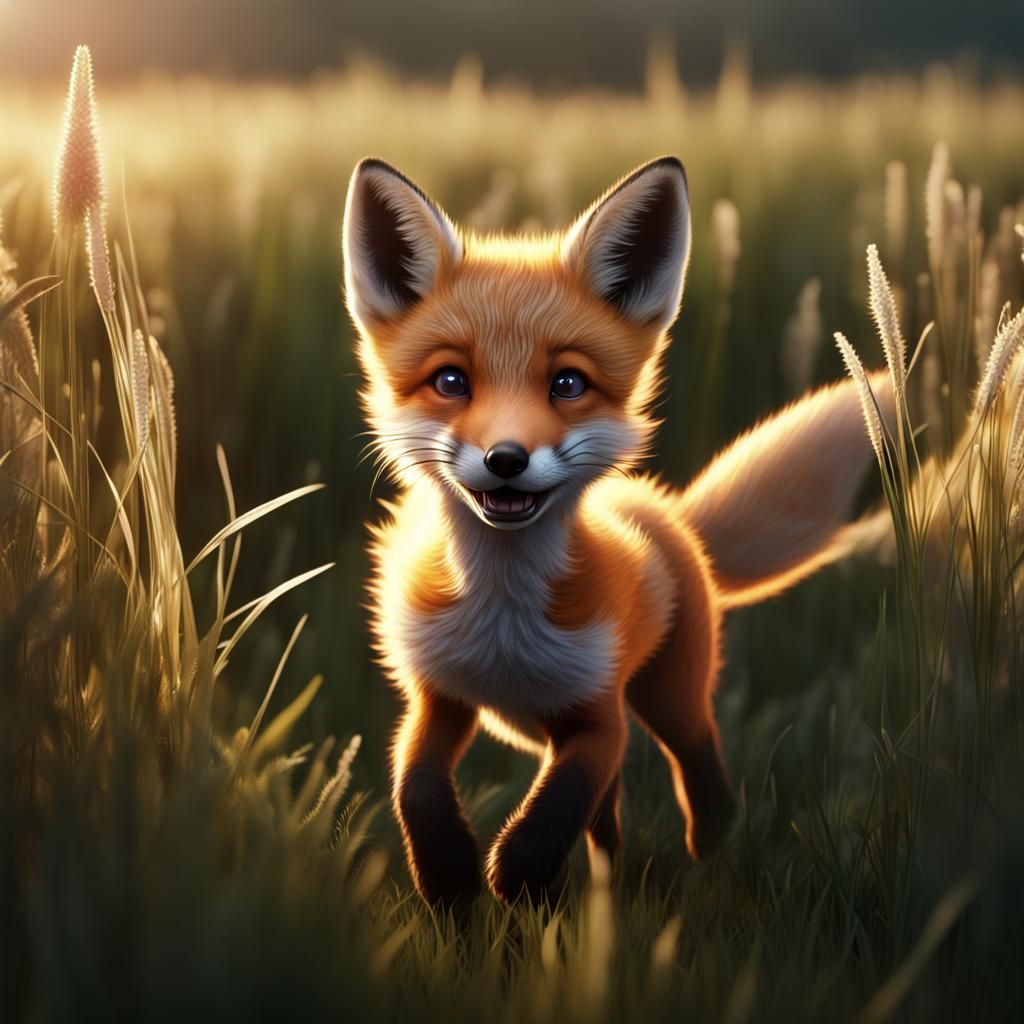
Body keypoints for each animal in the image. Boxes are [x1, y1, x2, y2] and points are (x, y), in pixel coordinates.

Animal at [341, 155, 895, 907]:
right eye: (451, 381)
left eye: (568, 384)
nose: (506, 459)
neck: (503, 619)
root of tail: (672, 515)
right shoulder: (439, 696)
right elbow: (416, 787)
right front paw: (452, 879)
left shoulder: (598, 712)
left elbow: (557, 807)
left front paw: (513, 880)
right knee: (607, 818)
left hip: (671, 695)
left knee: (699, 776)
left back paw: (704, 862)